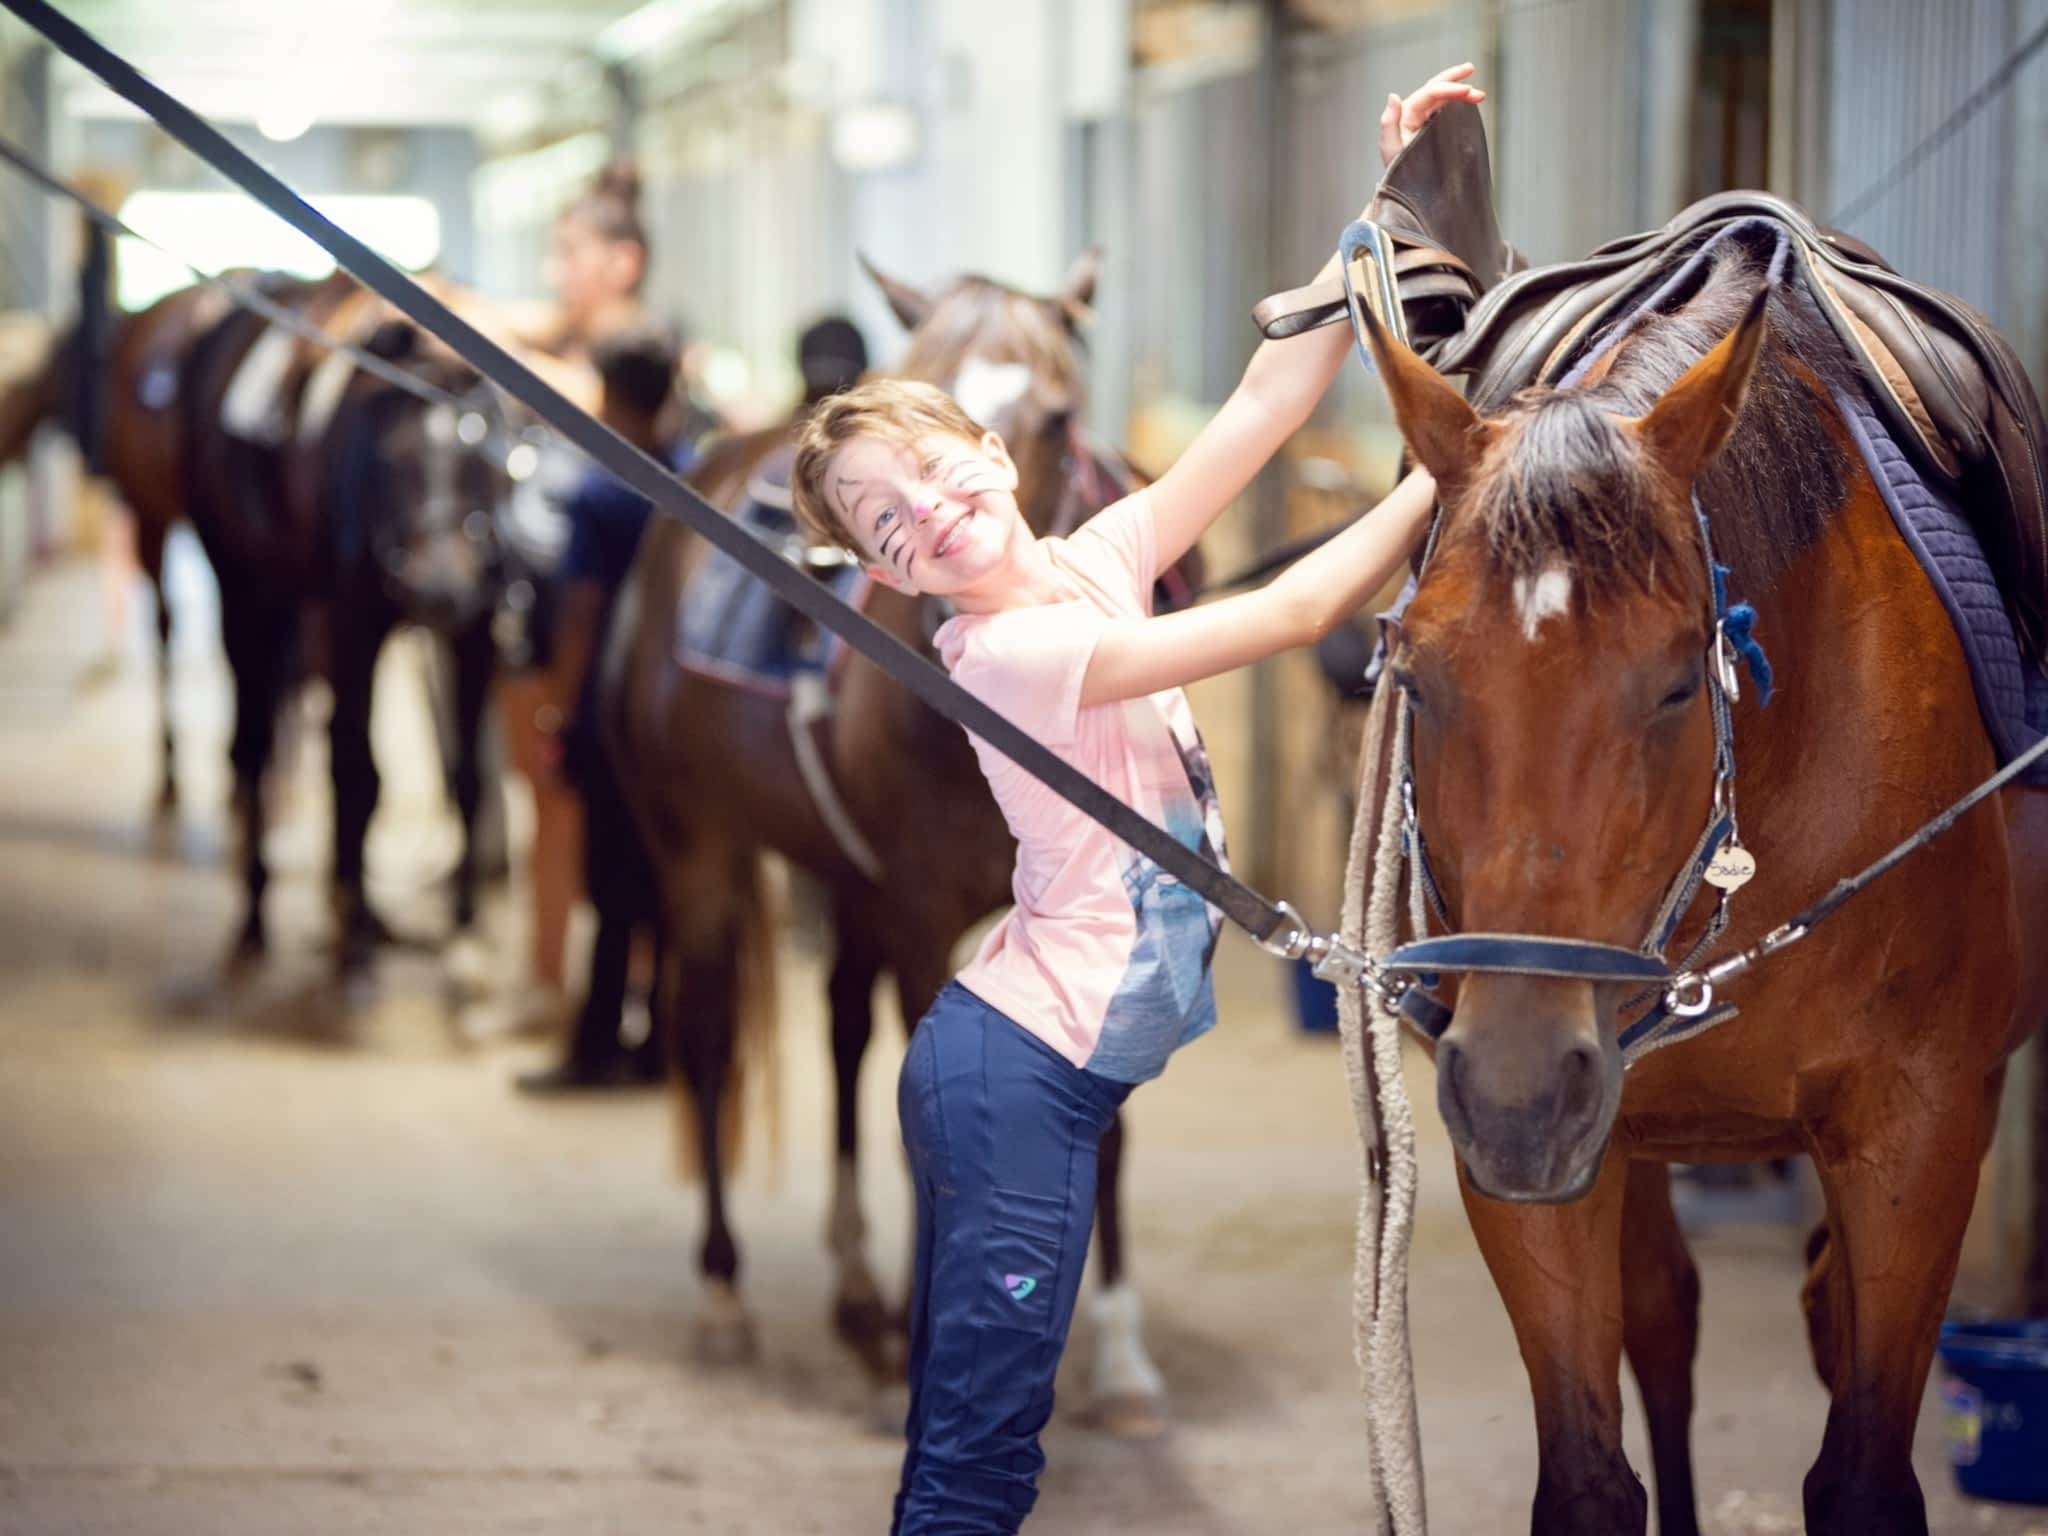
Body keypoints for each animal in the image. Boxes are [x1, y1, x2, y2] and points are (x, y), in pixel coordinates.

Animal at [598, 249, 1196, 1433]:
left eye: (1058, 410)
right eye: (907, 379)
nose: (937, 605)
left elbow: (1105, 1124)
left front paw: (1119, 1357)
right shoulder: (923, 919)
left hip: (846, 879)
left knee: (837, 1032)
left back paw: (857, 1291)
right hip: (699, 849)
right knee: (706, 1035)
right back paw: (728, 1296)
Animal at [1359, 243, 2048, 1536]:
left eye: (1680, 681)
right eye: (1414, 676)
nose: (1519, 1087)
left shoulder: (1918, 1124)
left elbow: (1862, 1474)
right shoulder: (1542, 1160)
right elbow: (1590, 1474)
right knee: (1666, 1323)